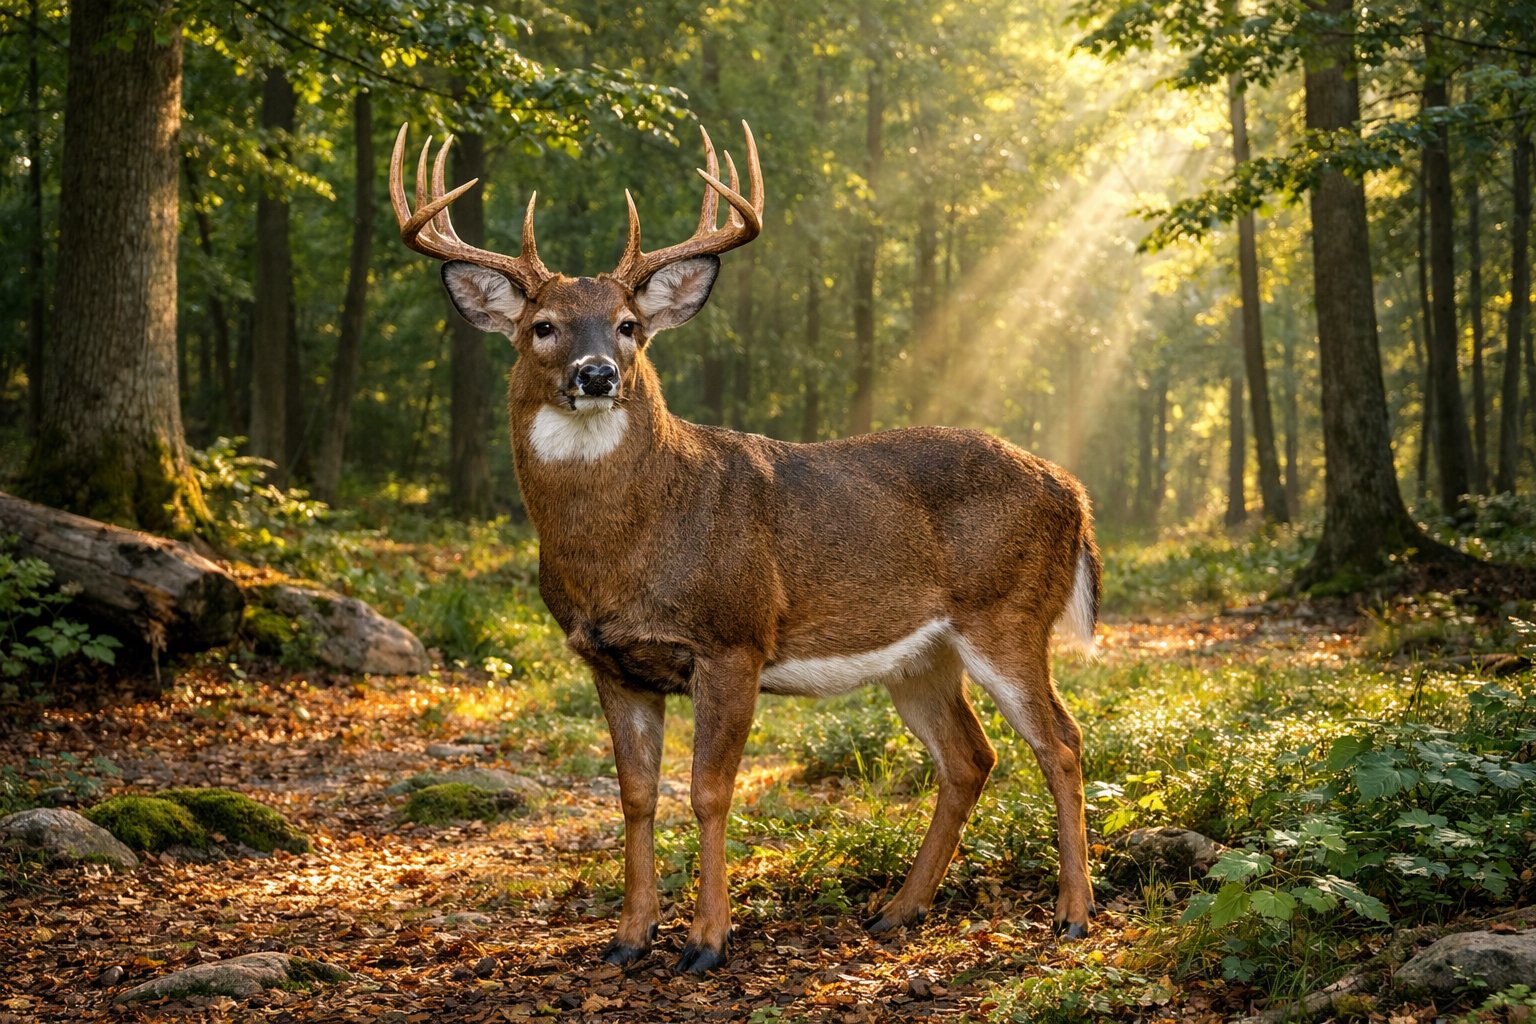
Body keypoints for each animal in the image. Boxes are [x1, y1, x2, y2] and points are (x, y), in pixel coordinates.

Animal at [389, 120, 1101, 975]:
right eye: (543, 327)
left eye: (629, 326)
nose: (597, 374)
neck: (622, 553)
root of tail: (1074, 492)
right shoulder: (609, 660)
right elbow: (636, 795)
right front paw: (629, 939)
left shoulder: (733, 638)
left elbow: (708, 791)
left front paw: (707, 941)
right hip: (920, 657)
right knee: (970, 757)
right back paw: (897, 910)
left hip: (1009, 614)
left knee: (1062, 741)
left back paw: (1073, 915)